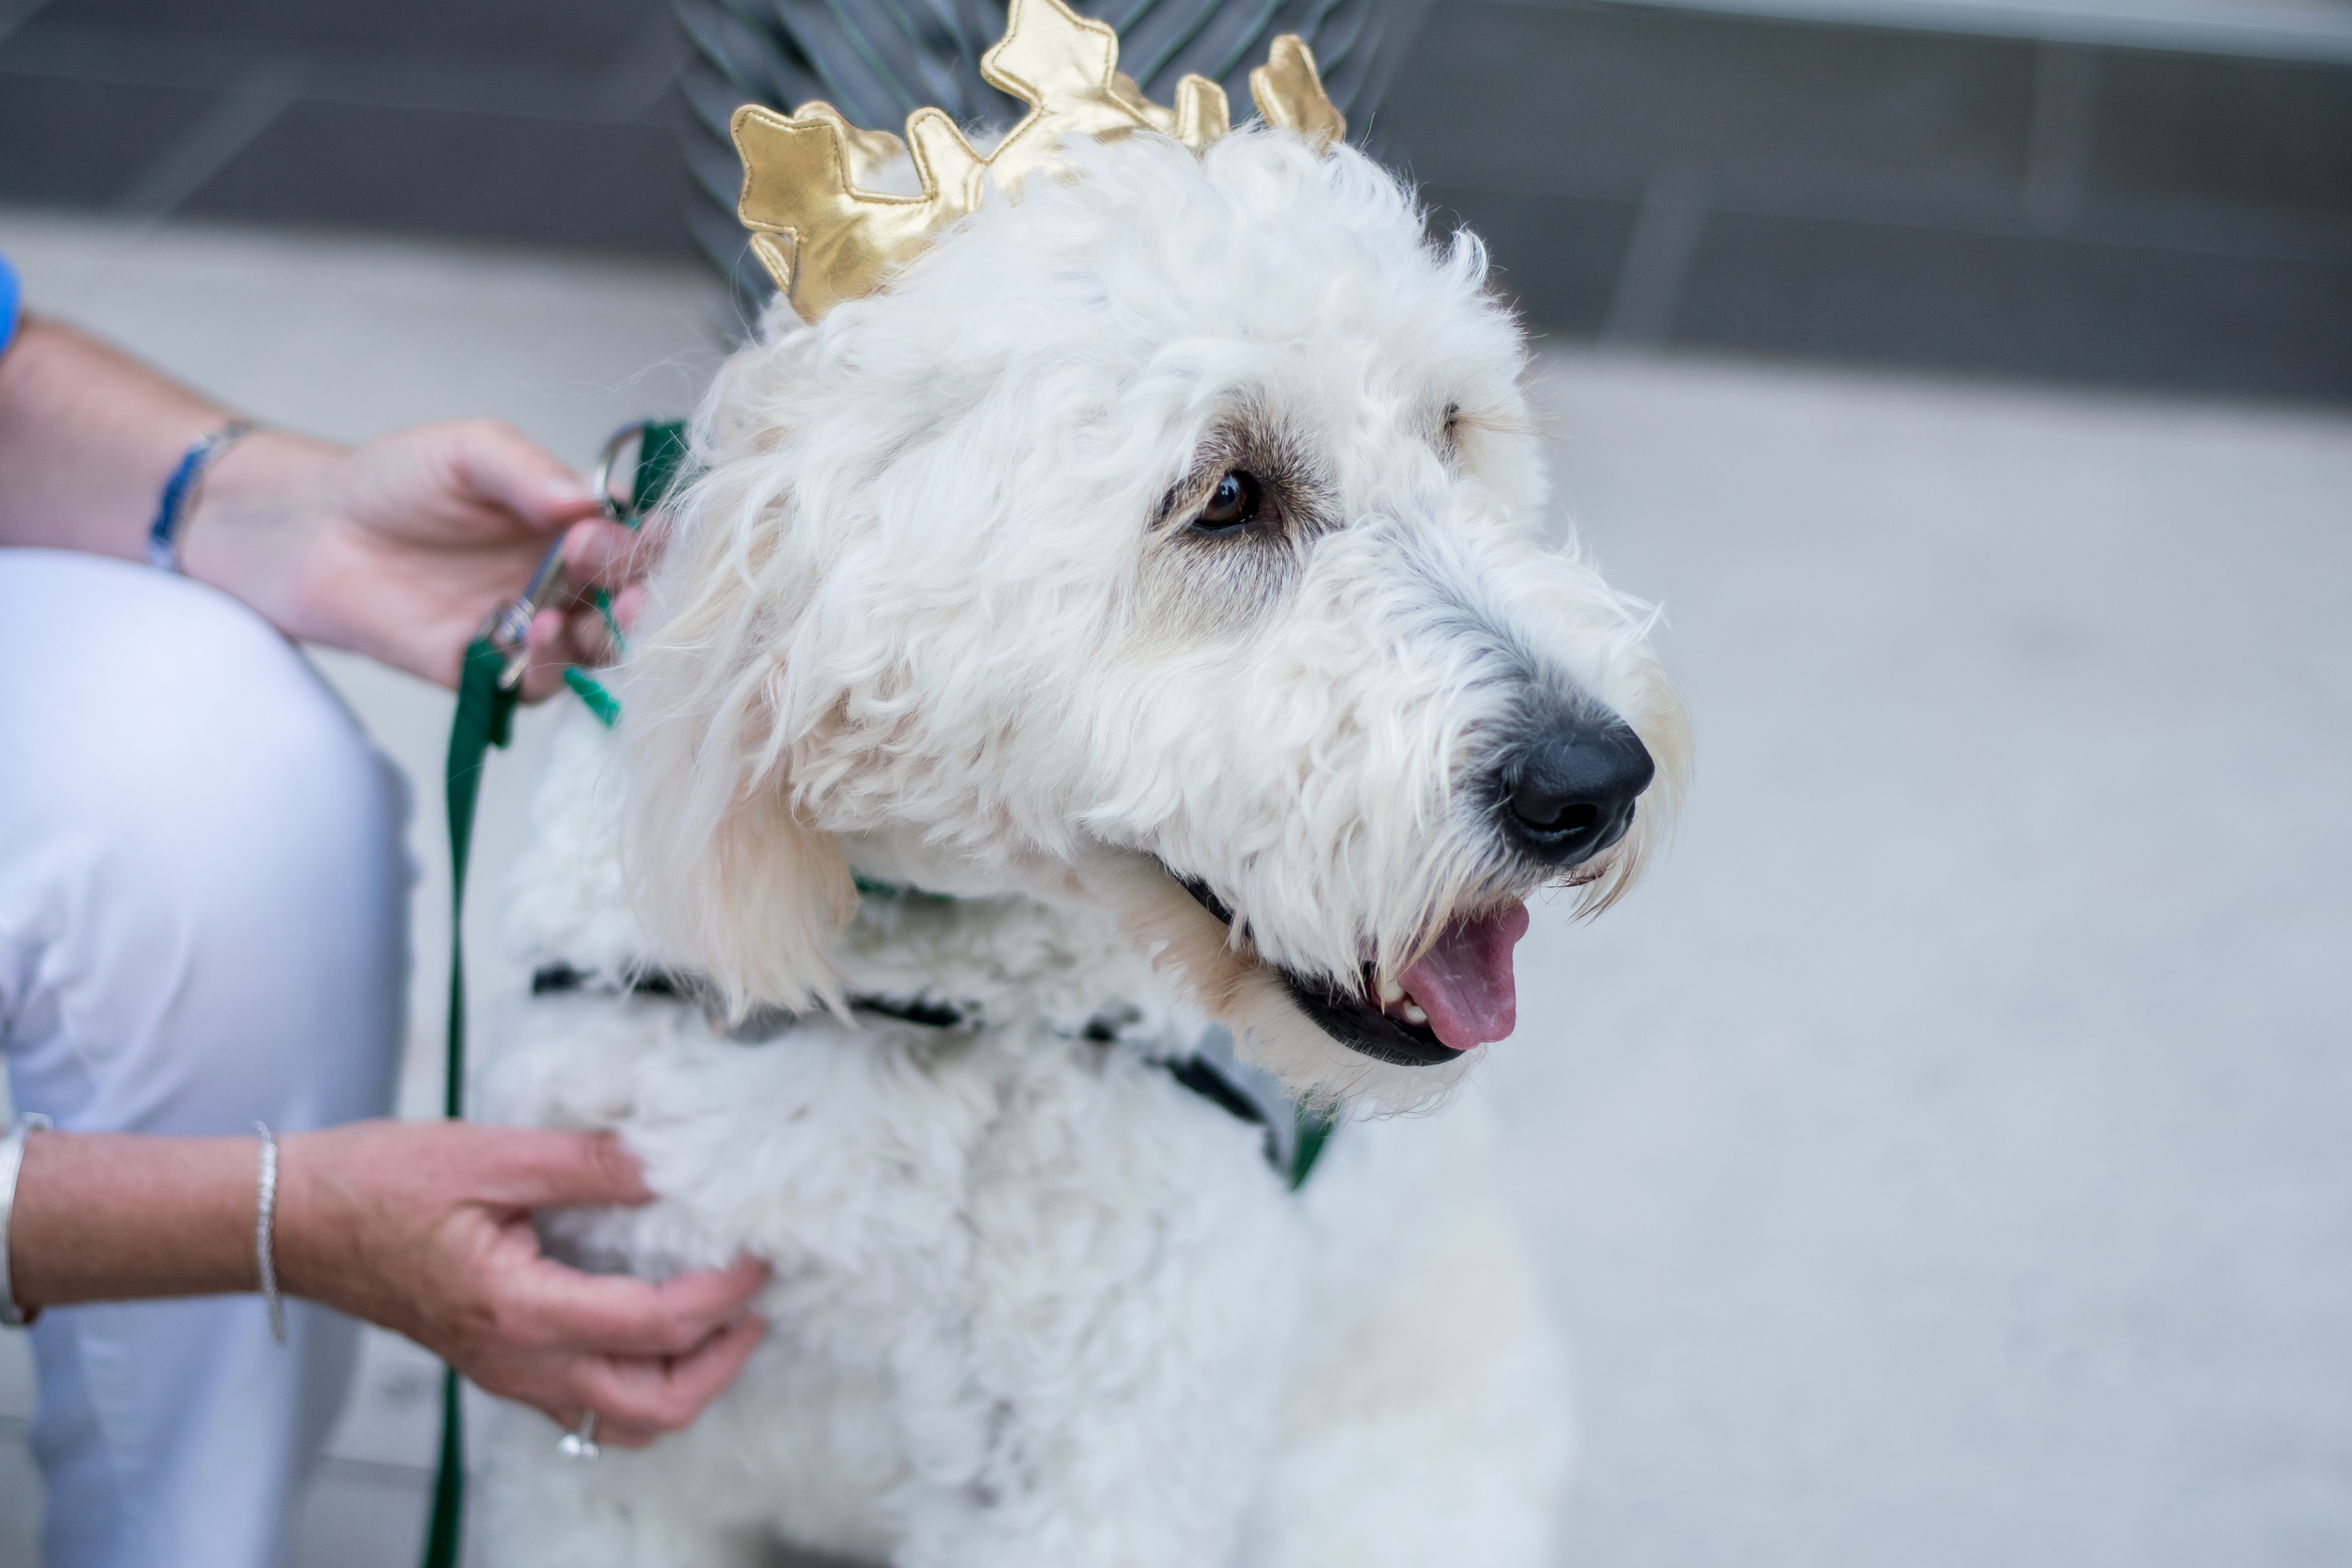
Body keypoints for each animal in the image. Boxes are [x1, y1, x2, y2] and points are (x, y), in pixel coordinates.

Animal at [477, 76, 1684, 1568]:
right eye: (1225, 494)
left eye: (1450, 424)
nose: (1596, 781)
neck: (926, 1002)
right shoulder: (601, 1448)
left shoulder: (1098, 1472)